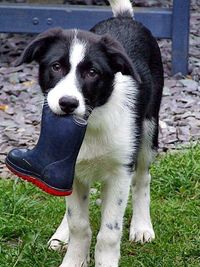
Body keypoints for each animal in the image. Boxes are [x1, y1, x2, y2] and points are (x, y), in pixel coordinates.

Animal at [16, 0, 163, 267]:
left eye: (92, 72)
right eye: (56, 67)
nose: (67, 103)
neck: (91, 122)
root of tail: (124, 18)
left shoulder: (120, 172)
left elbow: (110, 231)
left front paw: (106, 261)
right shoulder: (70, 170)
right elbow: (78, 223)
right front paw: (74, 259)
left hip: (148, 129)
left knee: (142, 179)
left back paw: (141, 226)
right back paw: (61, 234)